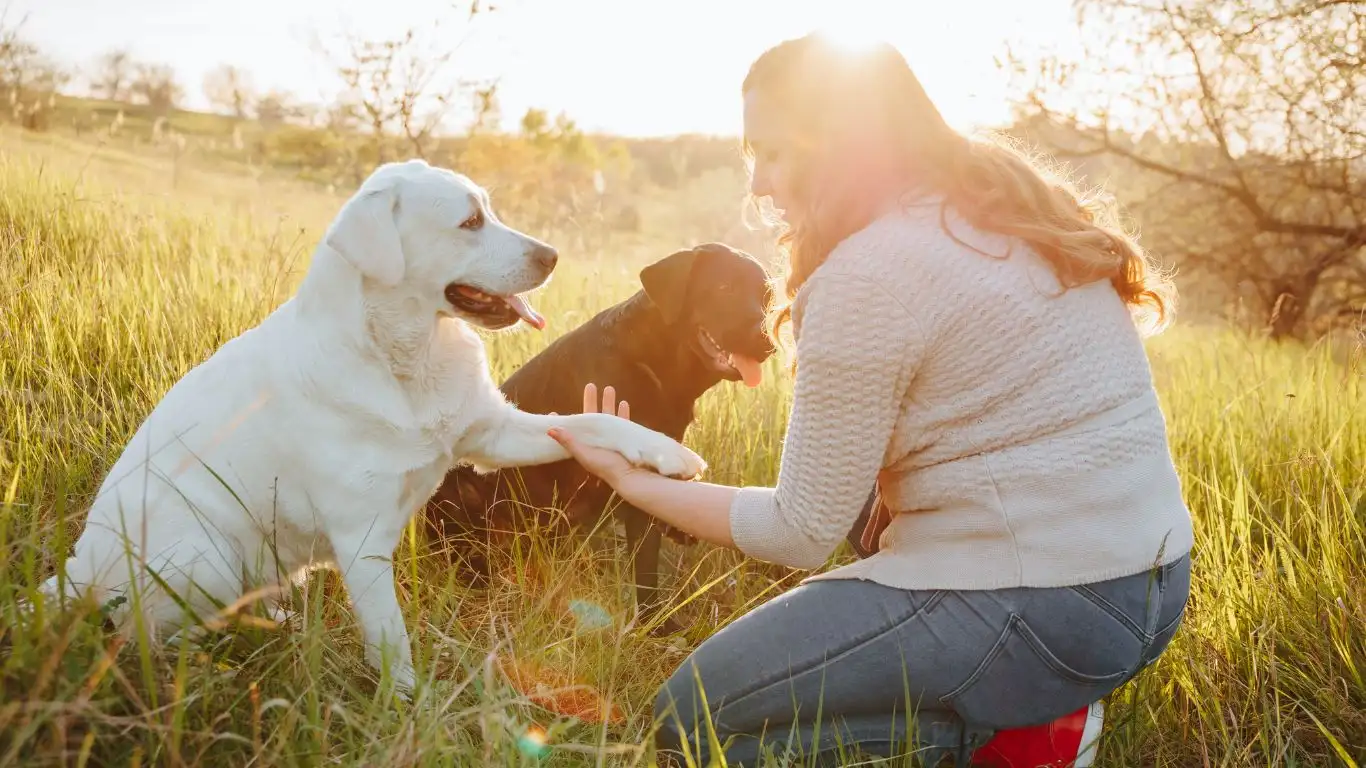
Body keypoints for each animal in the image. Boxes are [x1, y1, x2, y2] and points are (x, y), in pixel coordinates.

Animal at [42, 158, 704, 691]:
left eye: (489, 209)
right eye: (470, 222)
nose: (552, 255)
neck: (406, 358)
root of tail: (76, 575)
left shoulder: (492, 432)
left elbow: (590, 422)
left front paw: (664, 454)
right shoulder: (362, 542)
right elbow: (391, 638)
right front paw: (409, 702)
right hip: (205, 555)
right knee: (144, 637)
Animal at [420, 241, 775, 631]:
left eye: (767, 296)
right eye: (724, 288)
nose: (768, 344)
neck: (654, 363)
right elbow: (645, 564)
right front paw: (655, 625)